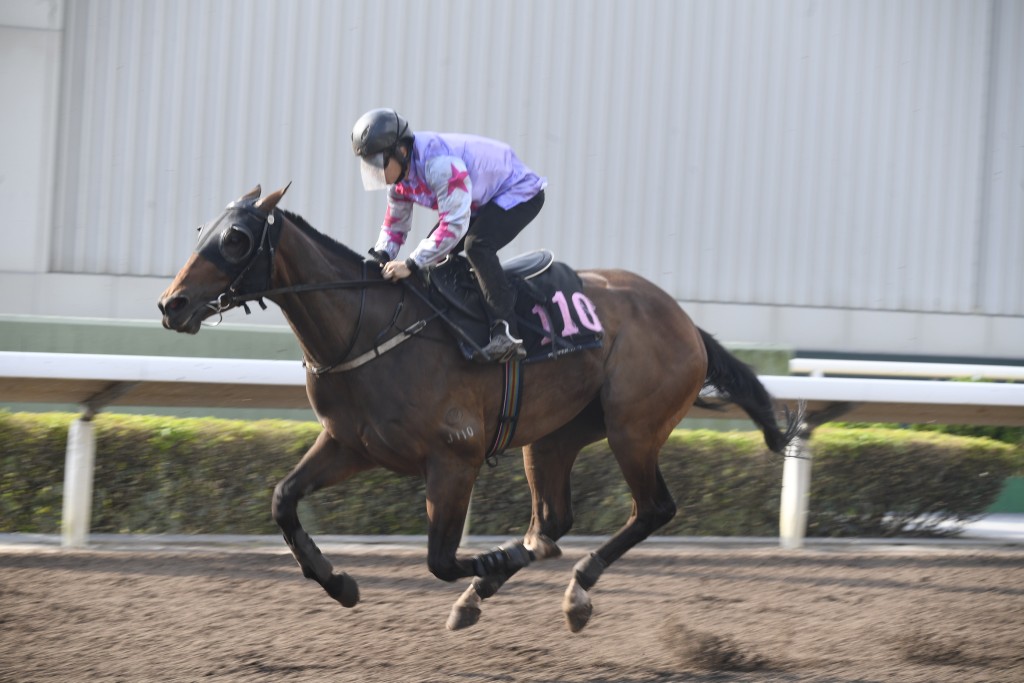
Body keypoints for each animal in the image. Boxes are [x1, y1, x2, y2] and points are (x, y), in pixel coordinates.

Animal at [157, 184, 798, 634]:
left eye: (237, 239)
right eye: (204, 229)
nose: (171, 304)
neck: (367, 327)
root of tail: (685, 321)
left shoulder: (454, 457)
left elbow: (441, 559)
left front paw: (489, 562)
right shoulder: (350, 445)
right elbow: (283, 499)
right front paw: (338, 582)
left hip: (633, 427)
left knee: (651, 509)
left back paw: (574, 589)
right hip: (554, 435)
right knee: (553, 520)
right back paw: (511, 585)